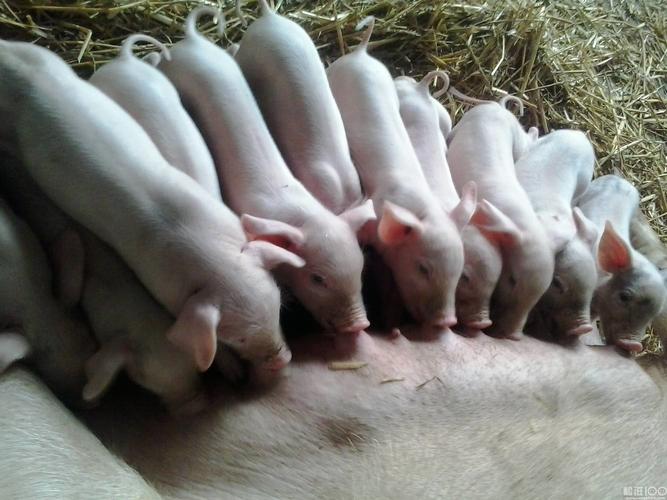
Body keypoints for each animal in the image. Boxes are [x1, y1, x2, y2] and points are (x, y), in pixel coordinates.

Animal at [447, 101, 555, 339]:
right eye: (512, 279)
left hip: (517, 140)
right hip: (467, 122)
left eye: (542, 292)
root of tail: (499, 107)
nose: (513, 335)